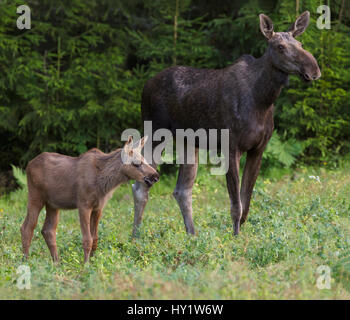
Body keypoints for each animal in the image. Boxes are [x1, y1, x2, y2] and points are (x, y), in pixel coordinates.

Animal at [19, 136, 159, 262]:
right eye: (136, 163)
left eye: (144, 159)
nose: (155, 176)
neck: (104, 183)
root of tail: (28, 165)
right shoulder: (83, 205)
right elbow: (87, 239)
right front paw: (85, 265)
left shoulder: (98, 208)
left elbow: (95, 238)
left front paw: (92, 262)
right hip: (35, 196)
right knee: (27, 228)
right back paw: (26, 261)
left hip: (53, 204)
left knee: (48, 230)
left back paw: (56, 263)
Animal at [131, 11, 320, 236]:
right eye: (280, 46)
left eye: (300, 43)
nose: (314, 69)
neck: (263, 99)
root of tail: (145, 85)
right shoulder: (231, 148)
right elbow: (236, 204)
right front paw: (235, 236)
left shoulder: (258, 149)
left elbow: (246, 203)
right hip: (155, 133)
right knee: (140, 186)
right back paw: (136, 237)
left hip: (189, 143)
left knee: (182, 190)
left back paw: (192, 235)